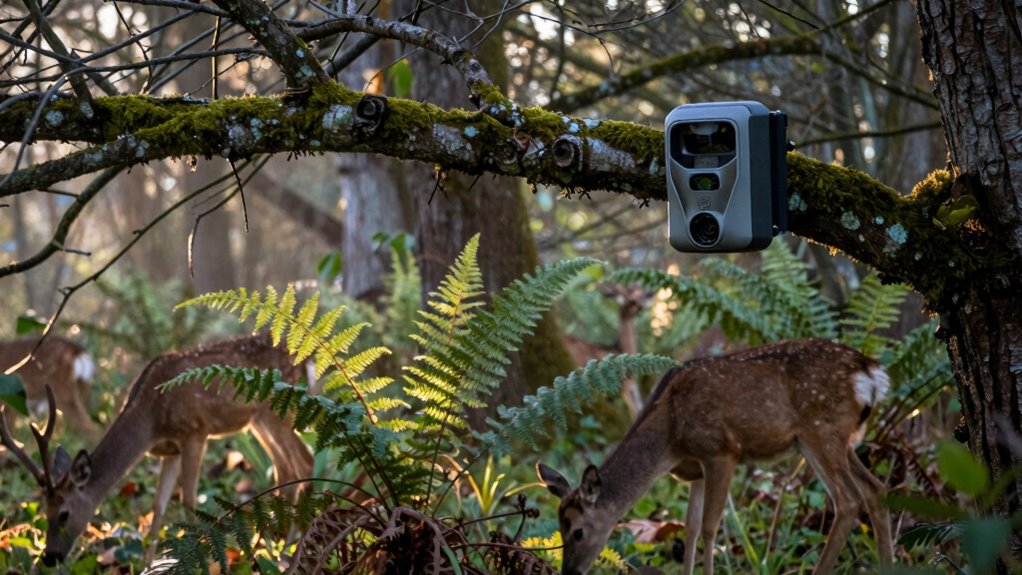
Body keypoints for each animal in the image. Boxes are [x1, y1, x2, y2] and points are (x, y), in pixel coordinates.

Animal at [0, 333, 314, 566]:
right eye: (44, 510)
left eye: (64, 513)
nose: (50, 558)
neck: (151, 420)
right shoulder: (171, 450)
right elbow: (158, 507)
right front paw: (147, 566)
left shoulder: (195, 432)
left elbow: (188, 501)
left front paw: (202, 564)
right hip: (257, 419)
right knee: (286, 468)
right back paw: (277, 546)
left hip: (278, 409)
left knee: (305, 461)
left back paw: (293, 545)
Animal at [537, 338, 894, 575]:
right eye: (560, 530)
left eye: (578, 531)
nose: (569, 572)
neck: (670, 438)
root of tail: (870, 371)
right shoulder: (695, 469)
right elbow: (690, 528)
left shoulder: (721, 450)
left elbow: (710, 528)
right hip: (842, 440)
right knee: (876, 489)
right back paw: (889, 564)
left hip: (819, 431)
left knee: (848, 499)